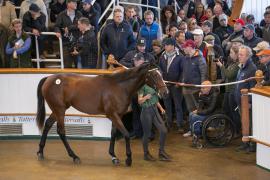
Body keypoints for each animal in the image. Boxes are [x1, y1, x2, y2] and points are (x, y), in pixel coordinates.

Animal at [35, 63, 167, 166]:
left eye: (161, 74)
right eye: (154, 75)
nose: (165, 92)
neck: (119, 87)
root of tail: (49, 78)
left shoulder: (118, 115)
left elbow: (113, 133)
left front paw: (113, 156)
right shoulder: (112, 115)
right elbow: (126, 134)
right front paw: (128, 158)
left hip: (57, 110)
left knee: (48, 124)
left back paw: (40, 151)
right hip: (60, 110)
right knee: (61, 131)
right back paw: (74, 156)